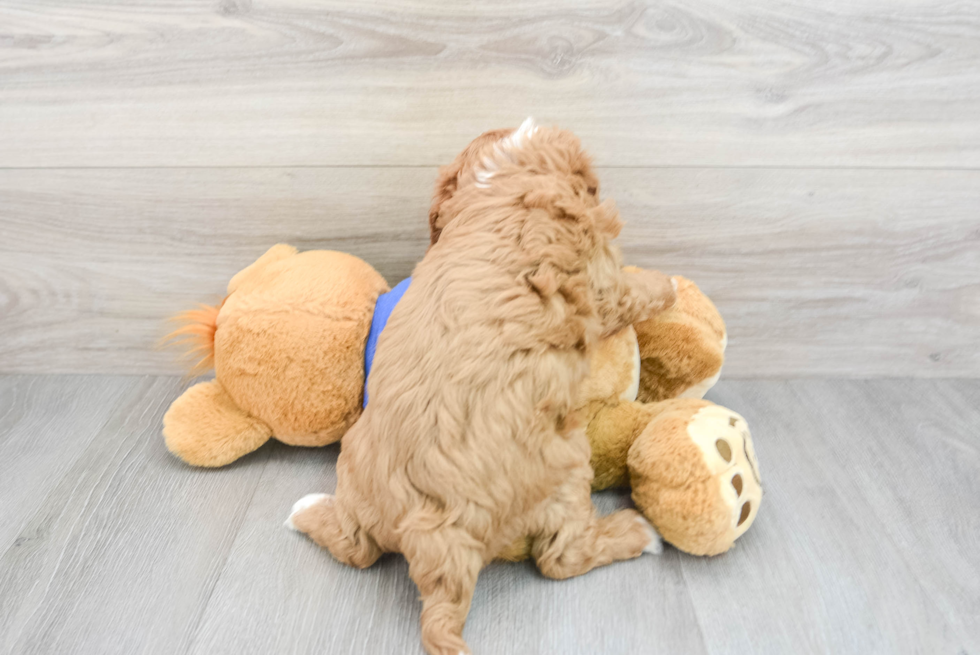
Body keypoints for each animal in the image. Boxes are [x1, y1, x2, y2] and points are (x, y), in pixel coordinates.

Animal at [288, 119, 676, 655]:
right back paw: (637, 533)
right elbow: (630, 291)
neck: (502, 179)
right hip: (567, 471)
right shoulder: (601, 285)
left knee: (355, 546)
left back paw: (304, 509)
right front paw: (669, 284)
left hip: (358, 482)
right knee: (561, 558)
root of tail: (434, 535)